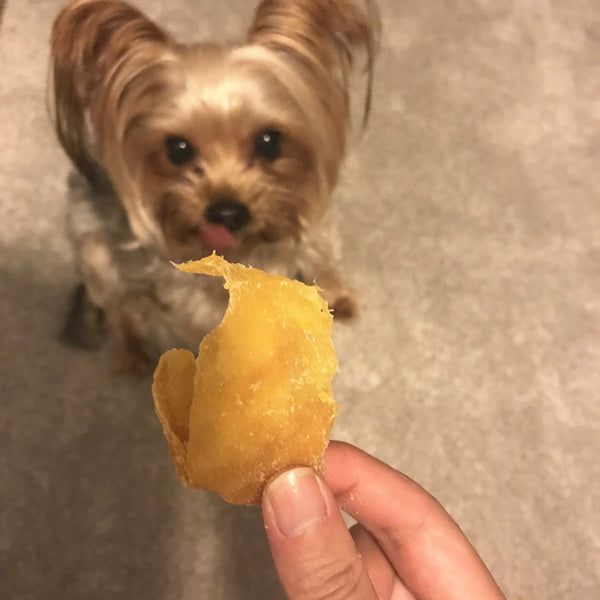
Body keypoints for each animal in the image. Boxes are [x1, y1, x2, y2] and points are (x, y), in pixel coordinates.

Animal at [51, 0, 380, 372]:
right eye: (177, 149)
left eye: (269, 141)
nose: (227, 213)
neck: (252, 246)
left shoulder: (315, 226)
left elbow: (322, 259)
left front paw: (339, 297)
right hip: (94, 251)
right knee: (120, 305)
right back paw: (135, 352)